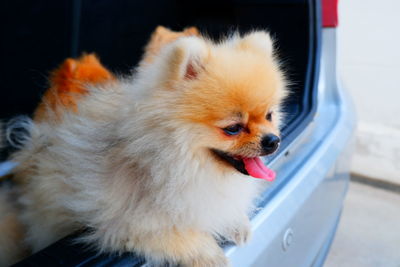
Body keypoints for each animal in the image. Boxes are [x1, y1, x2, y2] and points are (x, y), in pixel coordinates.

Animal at [1, 26, 286, 266]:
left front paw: (236, 222)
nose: (273, 141)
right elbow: (178, 236)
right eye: (233, 128)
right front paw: (210, 255)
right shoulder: (128, 224)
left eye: (269, 115)